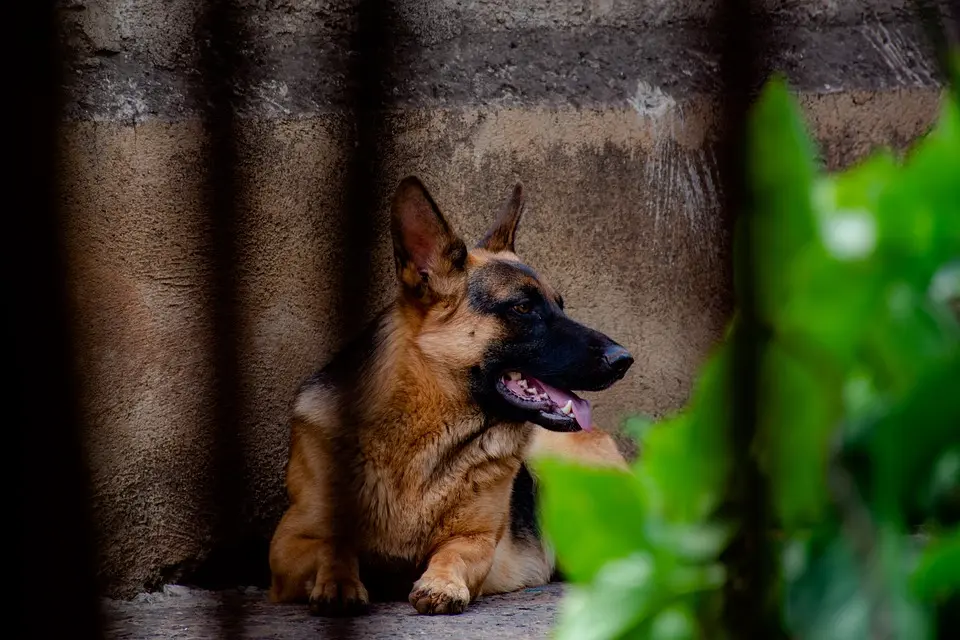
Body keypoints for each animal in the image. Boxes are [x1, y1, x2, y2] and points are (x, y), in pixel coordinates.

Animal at [266, 175, 632, 616]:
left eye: (560, 306)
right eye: (523, 307)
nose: (623, 359)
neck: (421, 438)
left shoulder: (476, 540)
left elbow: (452, 553)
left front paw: (440, 583)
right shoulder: (288, 542)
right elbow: (332, 545)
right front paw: (338, 581)